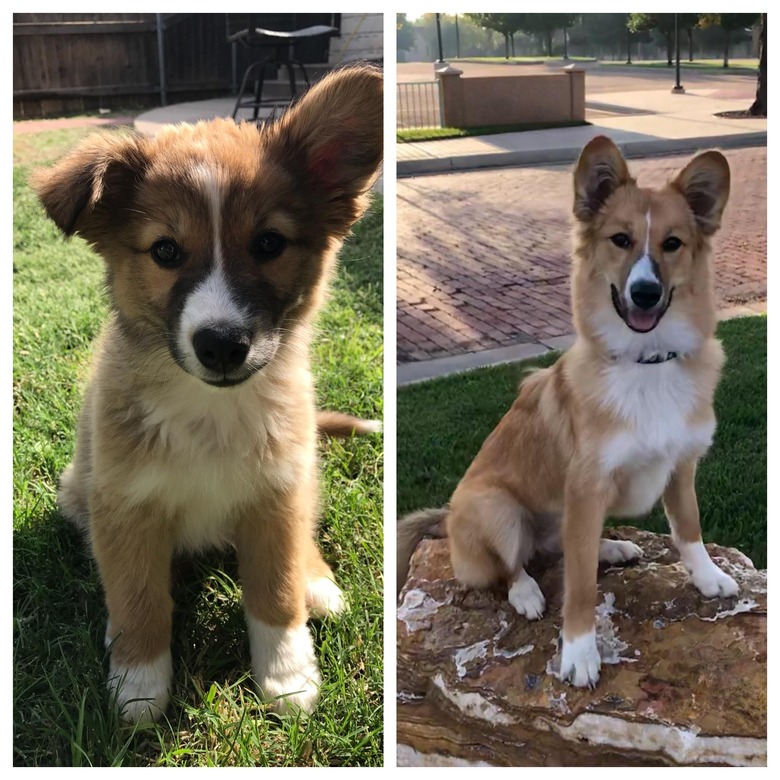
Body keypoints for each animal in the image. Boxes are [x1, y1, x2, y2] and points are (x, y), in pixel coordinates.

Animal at [33, 64, 384, 724]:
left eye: (269, 243)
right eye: (165, 250)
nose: (222, 345)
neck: (210, 410)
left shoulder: (277, 493)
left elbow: (274, 592)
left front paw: (287, 677)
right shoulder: (125, 503)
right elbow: (139, 596)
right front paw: (139, 683)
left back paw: (317, 583)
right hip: (78, 488)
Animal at [400, 137, 736, 684]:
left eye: (673, 243)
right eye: (620, 239)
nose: (645, 292)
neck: (646, 362)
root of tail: (447, 518)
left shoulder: (681, 465)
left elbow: (689, 527)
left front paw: (708, 576)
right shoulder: (585, 486)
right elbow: (579, 585)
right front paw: (579, 652)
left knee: (560, 546)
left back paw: (611, 547)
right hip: (494, 506)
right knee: (512, 565)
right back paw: (527, 591)